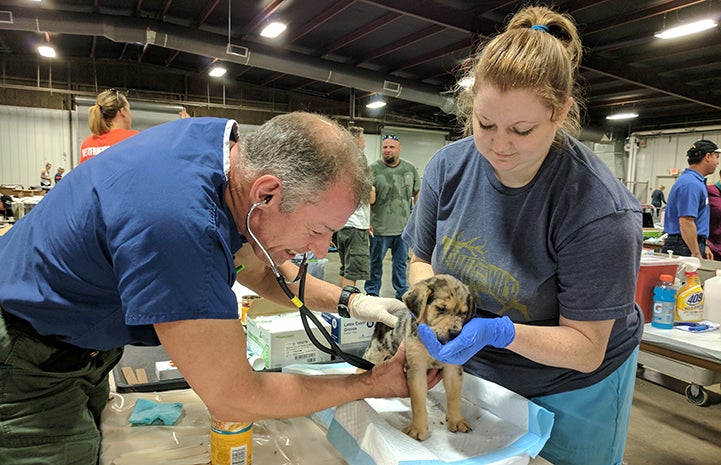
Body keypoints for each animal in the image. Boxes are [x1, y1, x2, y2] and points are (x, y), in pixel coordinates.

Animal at [362, 274, 476, 440]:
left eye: (463, 313)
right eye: (440, 309)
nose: (455, 334)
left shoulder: (453, 369)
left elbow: (455, 397)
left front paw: (456, 420)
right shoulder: (417, 369)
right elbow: (418, 401)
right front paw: (418, 429)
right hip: (375, 351)